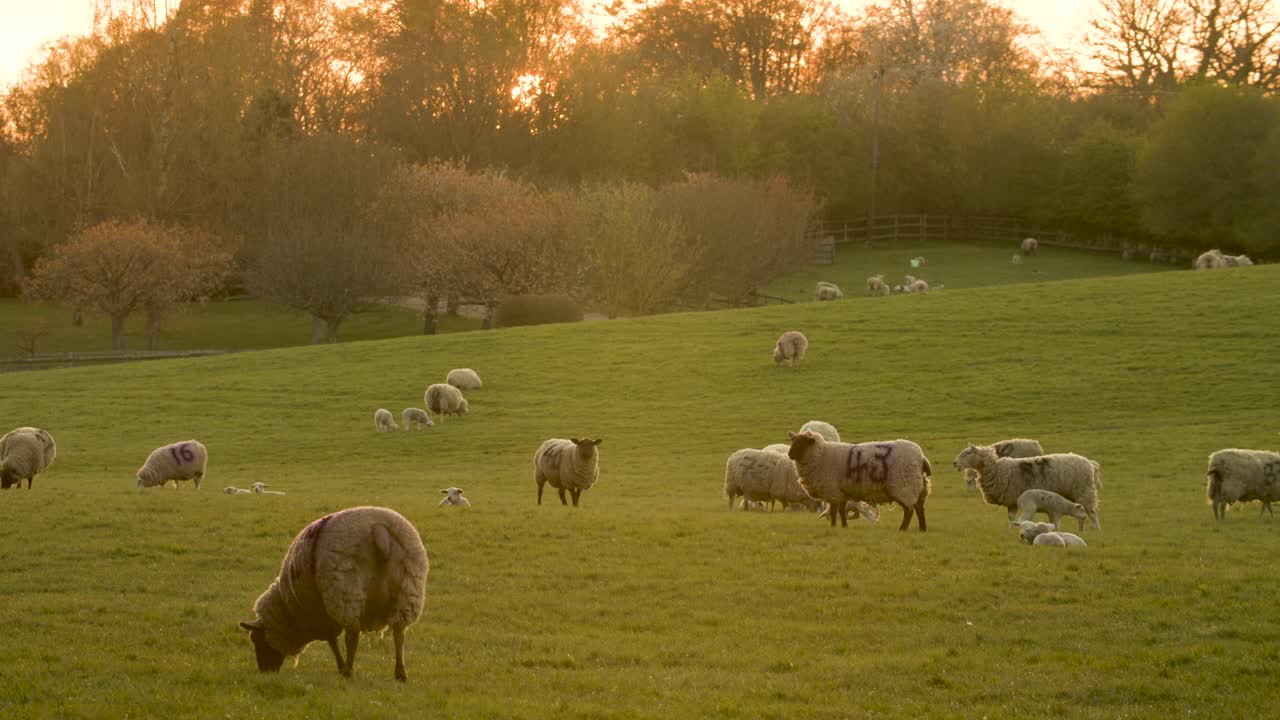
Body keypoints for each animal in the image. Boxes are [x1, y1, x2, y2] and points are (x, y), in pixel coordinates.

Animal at [235, 502, 424, 681]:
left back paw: (348, 671)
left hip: (346, 589)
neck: (289, 611)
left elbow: (331, 641)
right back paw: (400, 673)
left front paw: (340, 666)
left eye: (257, 639)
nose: (265, 671)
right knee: (399, 632)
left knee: (352, 634)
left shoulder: (320, 614)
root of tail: (378, 529)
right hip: (408, 589)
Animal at [783, 427, 936, 530]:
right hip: (917, 488)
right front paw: (844, 526)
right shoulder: (842, 492)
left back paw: (902, 529)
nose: (790, 455)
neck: (821, 455)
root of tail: (921, 457)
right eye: (793, 441)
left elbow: (833, 510)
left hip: (904, 486)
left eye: (803, 442)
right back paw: (922, 529)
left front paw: (833, 526)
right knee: (919, 508)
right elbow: (841, 510)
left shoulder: (833, 491)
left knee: (909, 511)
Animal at [952, 440, 1100, 530]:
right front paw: (1011, 529)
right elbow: (1011, 517)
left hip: (1084, 491)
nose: (954, 463)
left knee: (1091, 513)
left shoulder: (1014, 497)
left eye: (967, 453)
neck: (997, 470)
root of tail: (1089, 462)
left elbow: (1013, 517)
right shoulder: (1011, 501)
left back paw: (1096, 530)